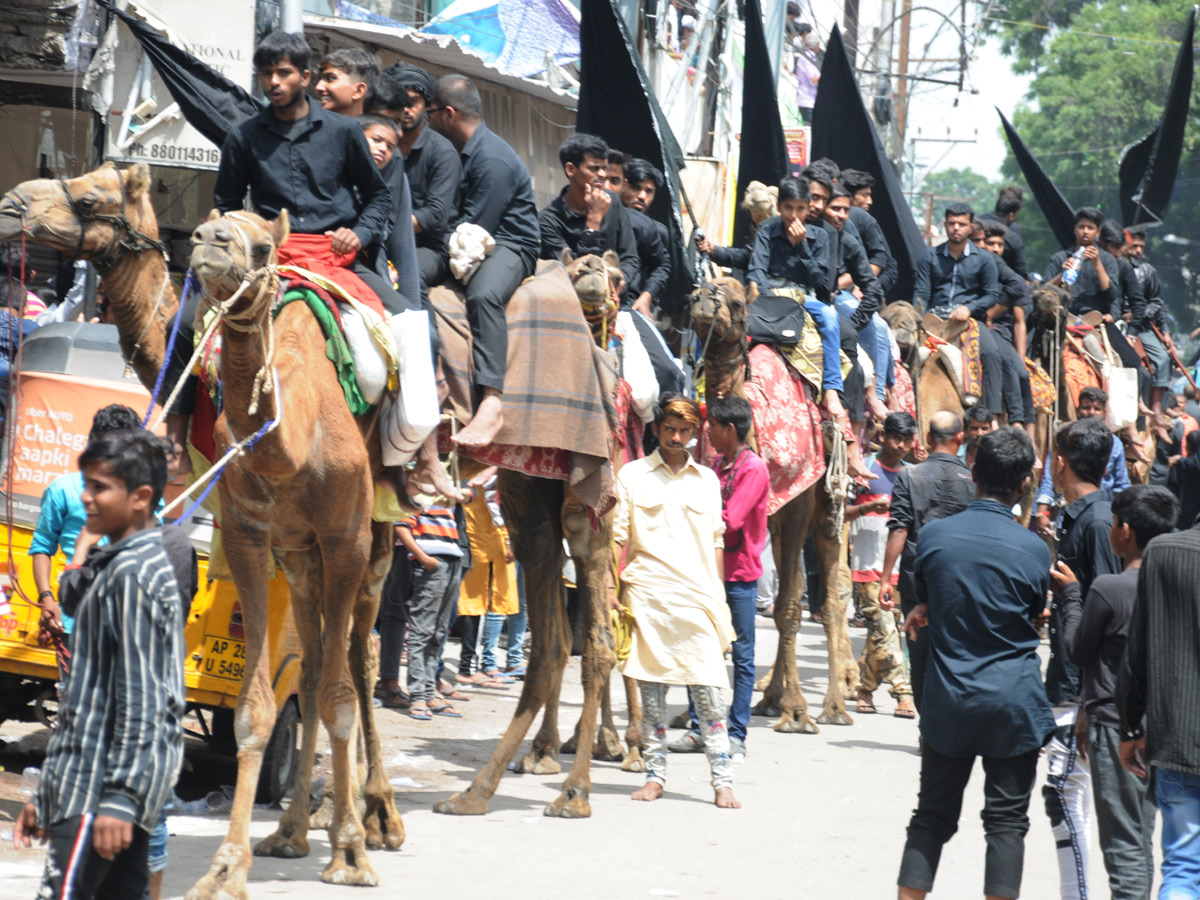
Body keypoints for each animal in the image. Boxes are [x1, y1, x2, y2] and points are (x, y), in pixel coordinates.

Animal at [686, 277, 864, 734]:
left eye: (734, 303)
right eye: (695, 293)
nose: (705, 298)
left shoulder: (798, 499)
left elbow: (788, 608)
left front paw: (798, 712)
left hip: (829, 504)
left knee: (832, 591)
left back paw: (835, 704)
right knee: (802, 583)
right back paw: (771, 697)